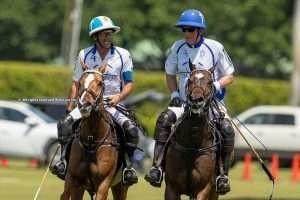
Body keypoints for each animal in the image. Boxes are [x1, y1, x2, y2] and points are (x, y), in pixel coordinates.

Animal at [60, 67, 128, 200]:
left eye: (100, 83)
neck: (92, 139)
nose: (85, 105)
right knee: (64, 194)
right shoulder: (76, 182)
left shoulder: (103, 184)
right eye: (80, 82)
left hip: (121, 187)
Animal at [164, 65, 218, 198]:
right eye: (189, 80)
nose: (196, 100)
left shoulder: (203, 189)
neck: (193, 143)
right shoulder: (171, 188)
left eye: (210, 82)